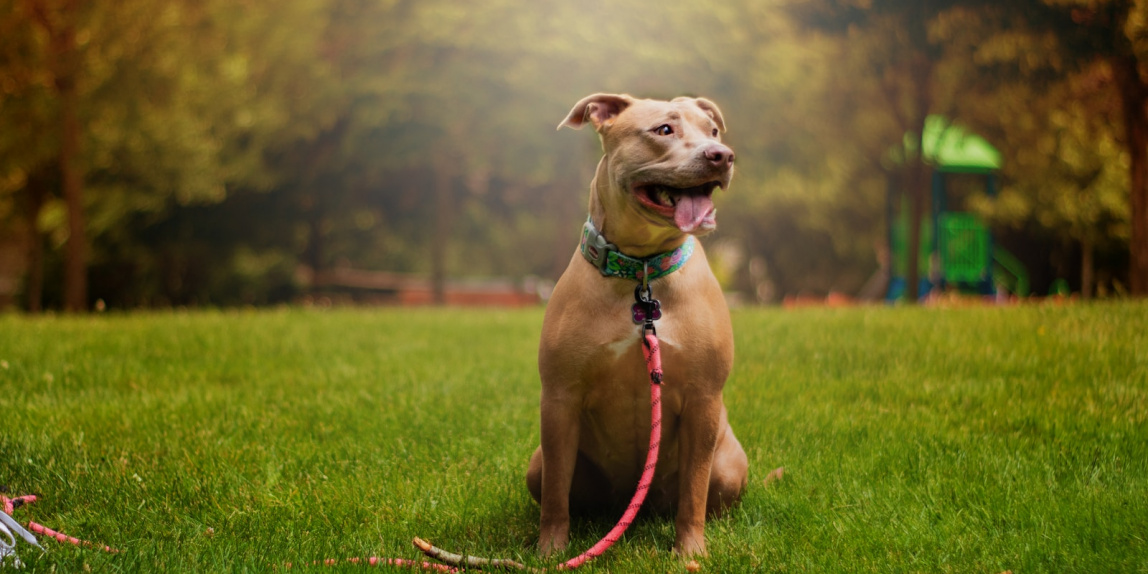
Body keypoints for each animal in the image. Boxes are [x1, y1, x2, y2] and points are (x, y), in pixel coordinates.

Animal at [525, 92, 748, 555]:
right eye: (664, 129)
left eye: (713, 132)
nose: (721, 155)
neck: (641, 270)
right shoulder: (559, 400)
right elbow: (555, 493)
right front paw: (551, 551)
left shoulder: (703, 401)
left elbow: (694, 490)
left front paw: (690, 552)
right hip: (537, 463)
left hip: (730, 465)